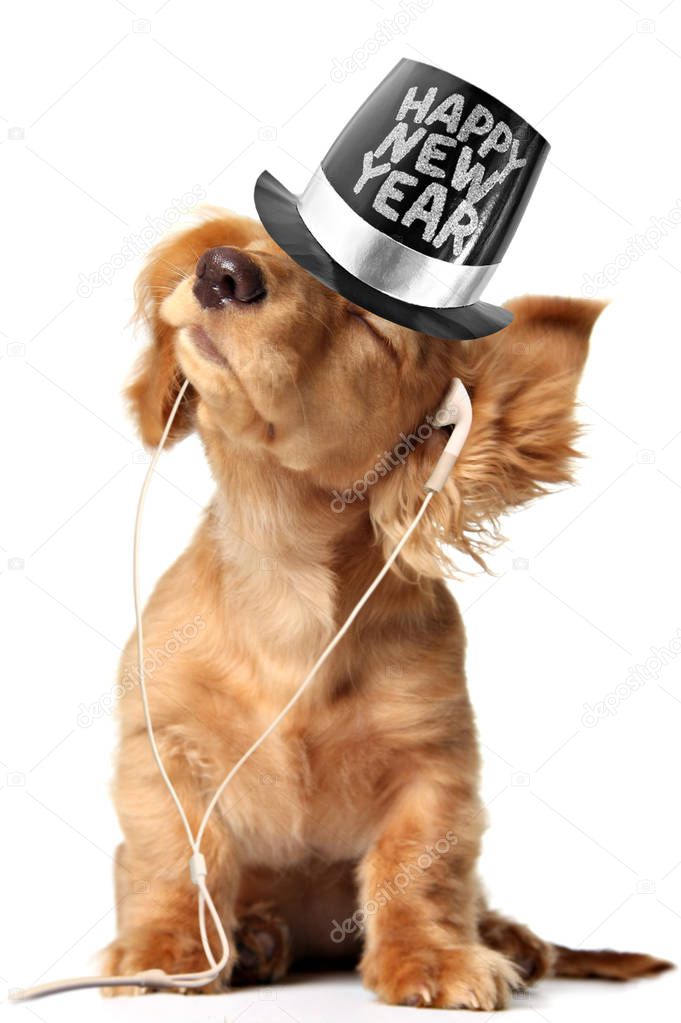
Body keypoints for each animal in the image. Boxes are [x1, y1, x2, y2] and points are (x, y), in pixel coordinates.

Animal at [103, 207, 670, 1006]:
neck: (286, 580)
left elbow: (418, 868)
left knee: (474, 898)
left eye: (369, 325)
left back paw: (508, 939)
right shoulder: (160, 749)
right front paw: (165, 950)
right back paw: (257, 936)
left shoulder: (433, 763)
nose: (222, 271)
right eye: (253, 245)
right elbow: (170, 857)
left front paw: (431, 957)